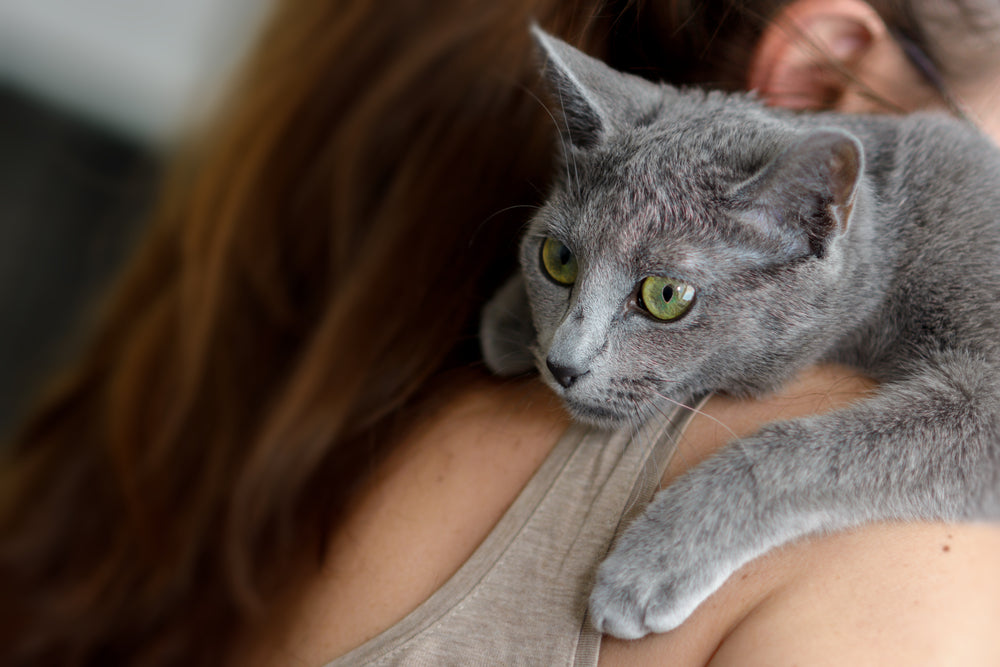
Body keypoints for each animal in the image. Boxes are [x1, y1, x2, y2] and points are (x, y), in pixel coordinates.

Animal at [482, 26, 1000, 640]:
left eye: (665, 296)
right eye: (557, 259)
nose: (562, 364)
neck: (906, 234)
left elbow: (799, 449)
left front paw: (653, 561)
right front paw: (508, 321)